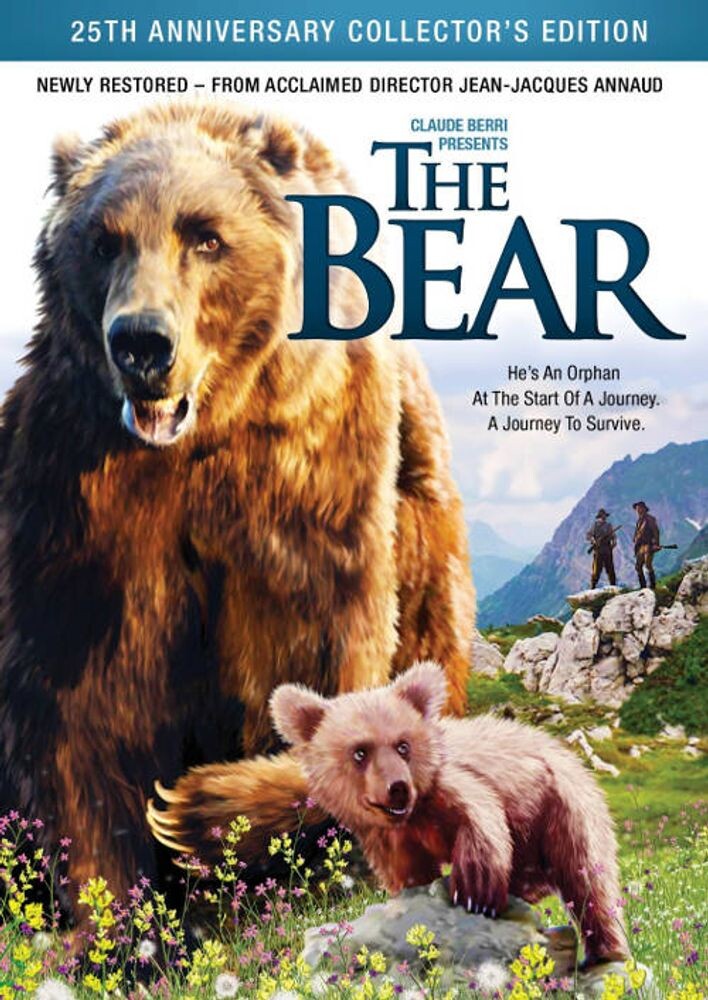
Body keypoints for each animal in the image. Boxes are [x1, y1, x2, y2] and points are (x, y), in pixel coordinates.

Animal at [0, 103, 474, 920]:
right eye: (103, 241)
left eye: (206, 235)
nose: (142, 343)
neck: (199, 447)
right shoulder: (78, 510)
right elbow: (75, 716)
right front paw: (116, 910)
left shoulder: (308, 505)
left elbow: (326, 676)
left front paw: (194, 807)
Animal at [269, 661, 628, 966]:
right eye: (360, 752)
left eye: (403, 745)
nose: (398, 787)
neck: (413, 814)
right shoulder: (390, 837)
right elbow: (408, 870)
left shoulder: (453, 785)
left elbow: (481, 819)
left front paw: (473, 894)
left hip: (565, 809)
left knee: (589, 884)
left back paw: (605, 952)